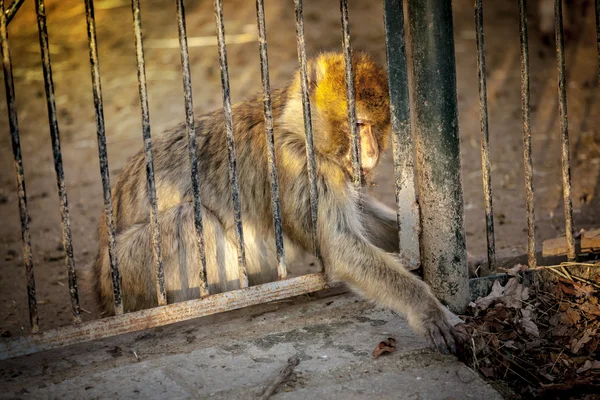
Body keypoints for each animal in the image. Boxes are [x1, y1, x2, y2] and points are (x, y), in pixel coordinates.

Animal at [85, 52, 460, 354]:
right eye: (358, 124)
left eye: (377, 127)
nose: (369, 153)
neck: (291, 124)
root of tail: (101, 288)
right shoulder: (298, 165)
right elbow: (340, 247)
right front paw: (425, 308)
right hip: (133, 270)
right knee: (189, 218)